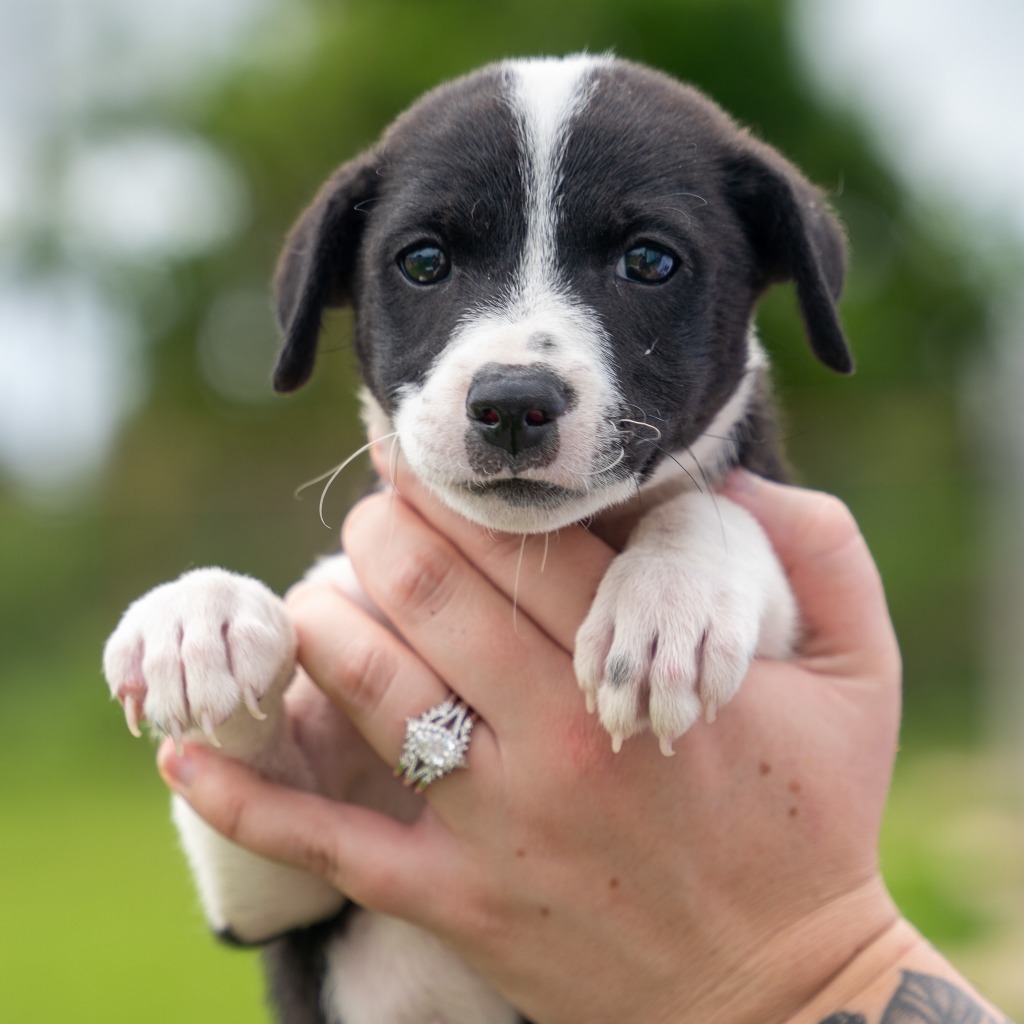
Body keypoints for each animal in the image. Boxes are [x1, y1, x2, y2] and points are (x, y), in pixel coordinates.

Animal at [105, 56, 847, 1024]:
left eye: (649, 261)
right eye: (425, 262)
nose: (513, 401)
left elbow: (720, 515)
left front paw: (666, 606)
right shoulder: (276, 900)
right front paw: (199, 617)